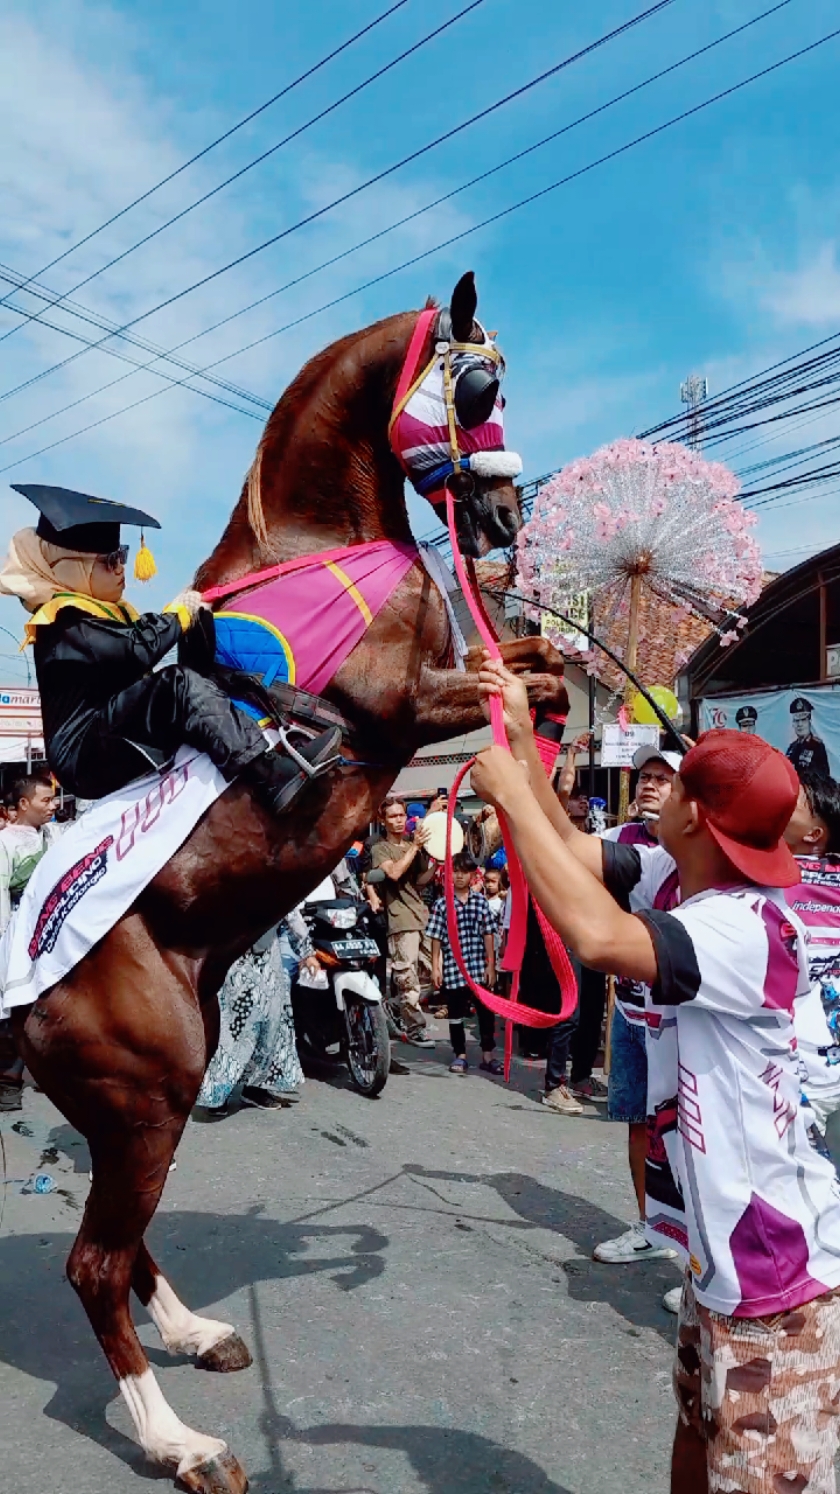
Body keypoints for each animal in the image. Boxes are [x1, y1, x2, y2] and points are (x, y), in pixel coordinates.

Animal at [11, 271, 561, 1494]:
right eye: (480, 383)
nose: (505, 521)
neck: (323, 542)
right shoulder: (405, 708)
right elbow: (501, 685)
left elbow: (545, 671)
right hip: (150, 1091)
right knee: (90, 1264)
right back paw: (180, 1443)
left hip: (132, 1098)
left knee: (121, 1246)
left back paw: (192, 1333)